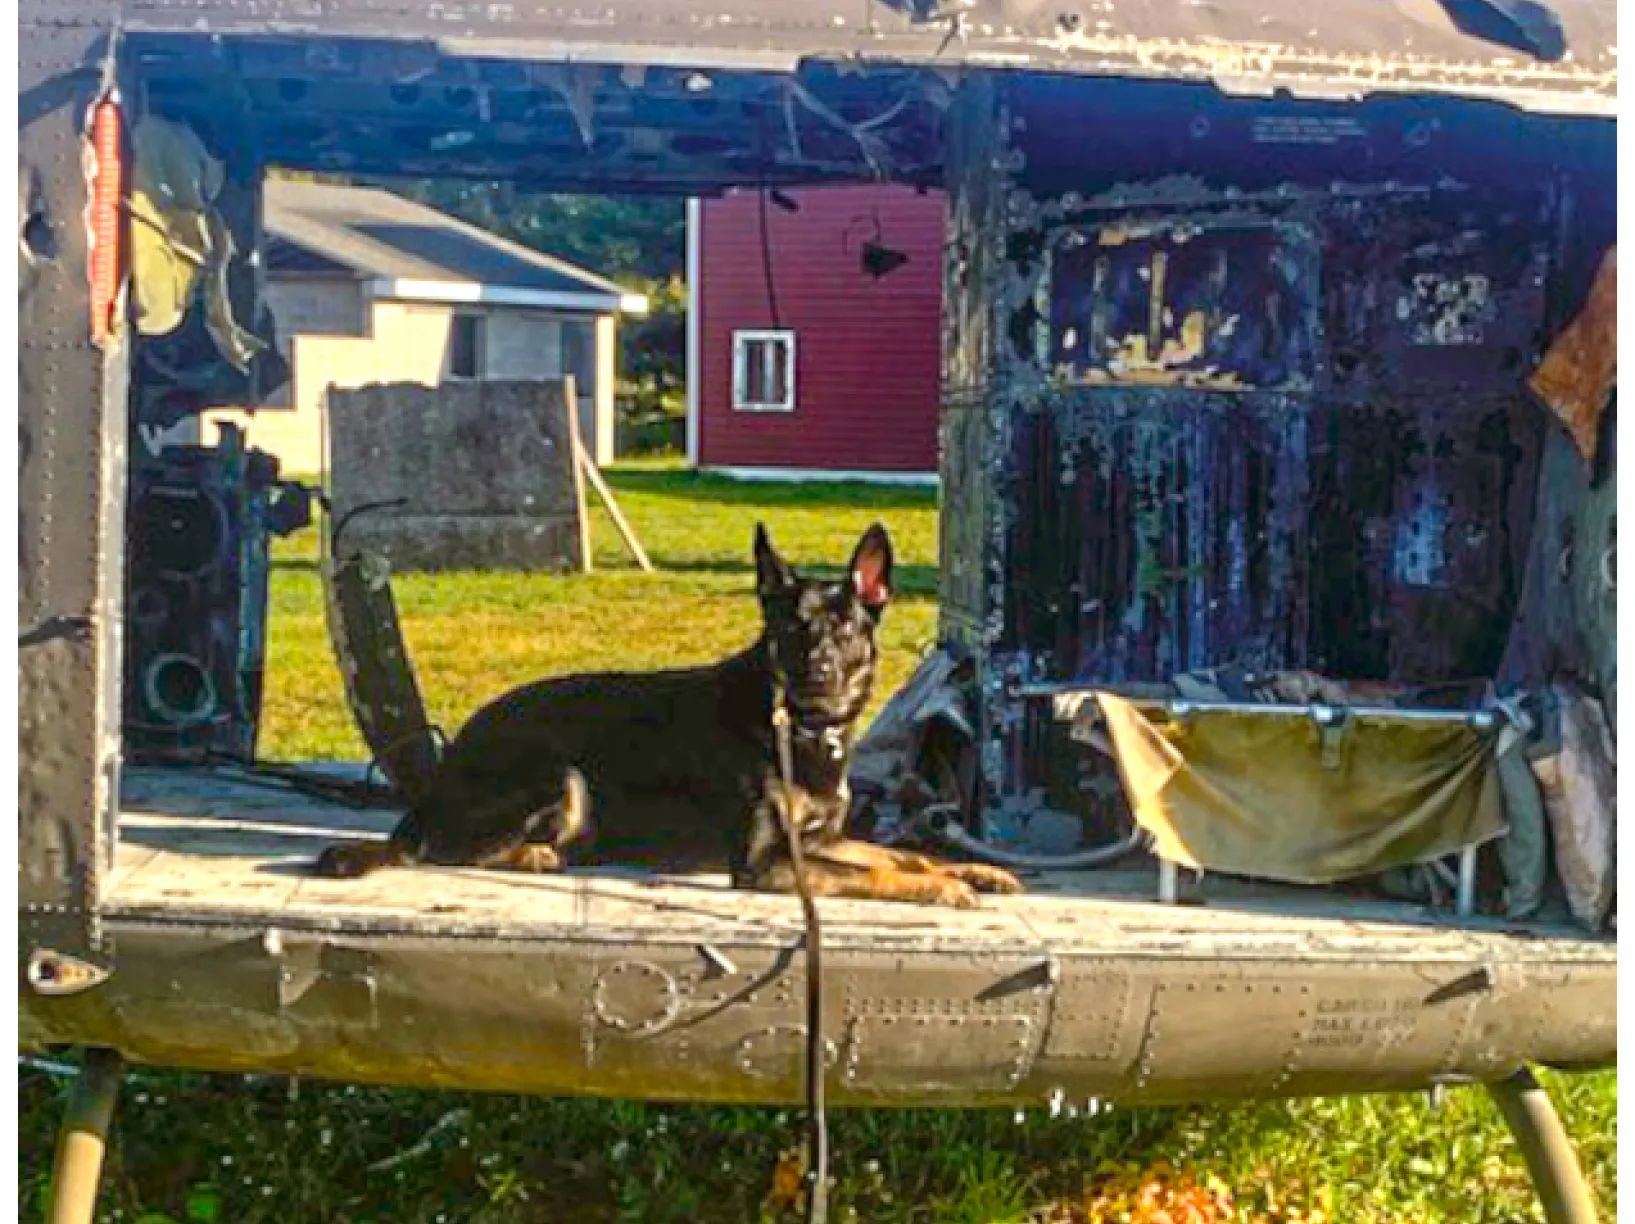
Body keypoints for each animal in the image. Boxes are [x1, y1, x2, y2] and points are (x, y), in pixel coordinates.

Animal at [318, 519, 1020, 902]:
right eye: (790, 629)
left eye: (846, 628)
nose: (817, 674)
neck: (801, 732)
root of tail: (437, 780)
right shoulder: (766, 863)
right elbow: (879, 876)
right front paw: (940, 888)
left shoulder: (820, 839)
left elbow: (897, 855)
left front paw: (971, 870)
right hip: (560, 775)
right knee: (443, 851)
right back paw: (534, 856)